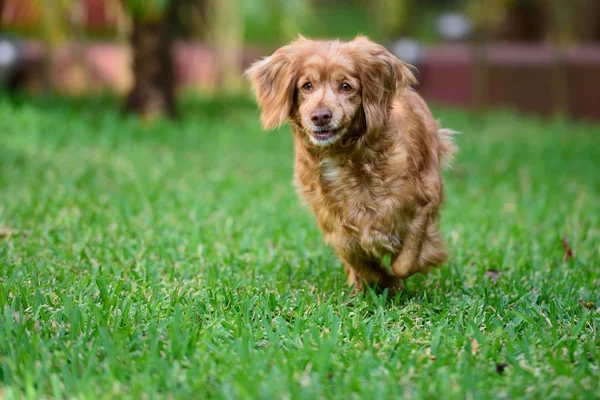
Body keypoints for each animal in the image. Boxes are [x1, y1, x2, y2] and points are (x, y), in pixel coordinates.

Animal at [244, 36, 454, 294]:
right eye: (307, 86)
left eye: (346, 86)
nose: (320, 116)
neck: (342, 155)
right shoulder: (335, 226)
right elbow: (357, 259)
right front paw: (380, 281)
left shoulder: (426, 200)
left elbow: (406, 261)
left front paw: (396, 279)